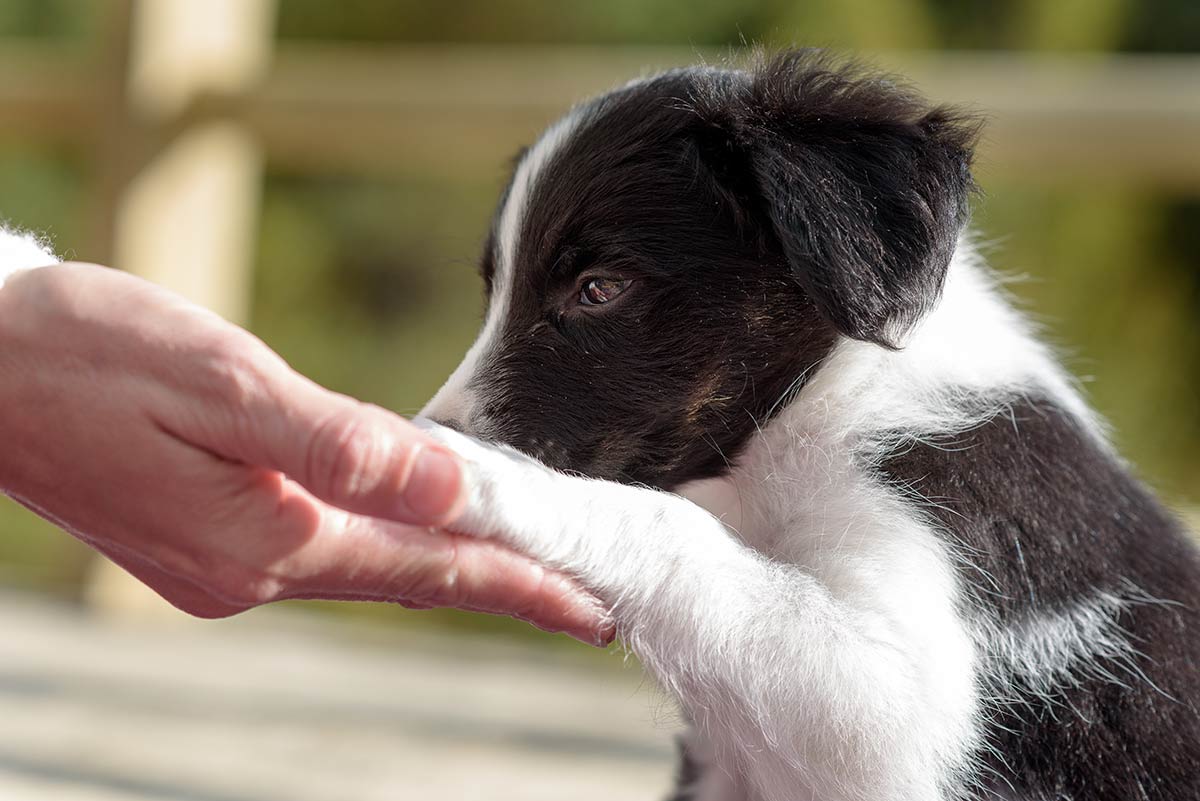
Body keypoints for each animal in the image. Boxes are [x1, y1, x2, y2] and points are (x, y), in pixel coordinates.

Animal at [415, 51, 1200, 801]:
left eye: (599, 288)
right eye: (494, 290)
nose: (434, 422)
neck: (825, 406)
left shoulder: (908, 692)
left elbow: (675, 531)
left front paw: (481, 473)